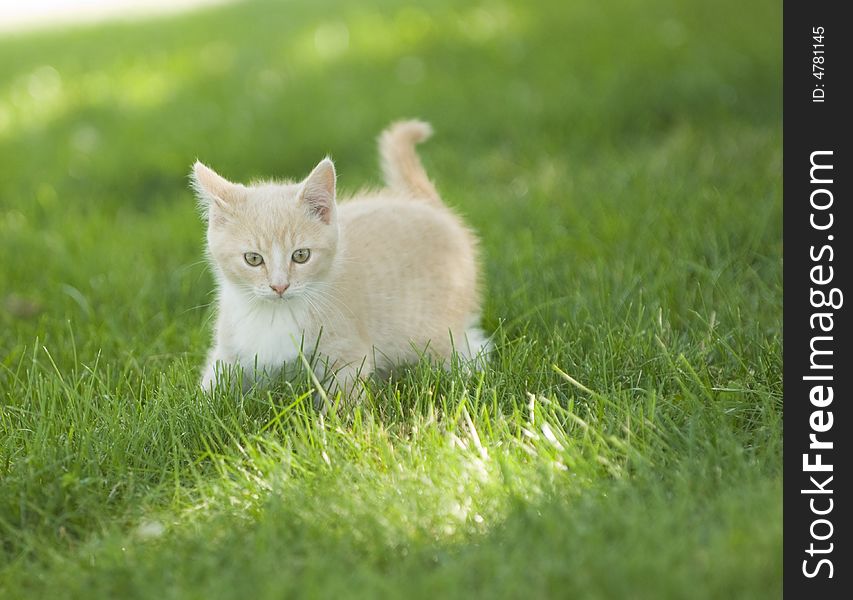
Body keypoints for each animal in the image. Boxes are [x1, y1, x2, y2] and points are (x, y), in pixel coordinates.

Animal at [191, 119, 490, 400]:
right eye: (253, 259)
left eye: (301, 255)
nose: (279, 286)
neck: (274, 314)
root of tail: (427, 204)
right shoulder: (228, 352)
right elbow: (208, 391)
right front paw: (196, 407)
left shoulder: (347, 353)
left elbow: (342, 399)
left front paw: (334, 420)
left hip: (436, 329)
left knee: (469, 348)